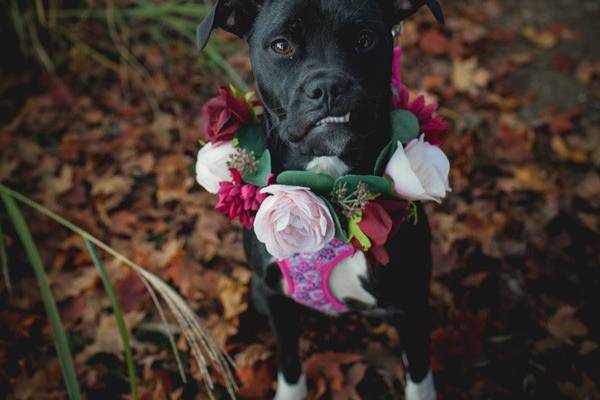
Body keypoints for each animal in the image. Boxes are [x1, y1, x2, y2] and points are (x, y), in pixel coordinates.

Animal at [199, 1, 442, 398]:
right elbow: (289, 362)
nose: (327, 86)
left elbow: (419, 378)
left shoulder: (413, 306)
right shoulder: (276, 297)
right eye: (281, 46)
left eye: (364, 39)